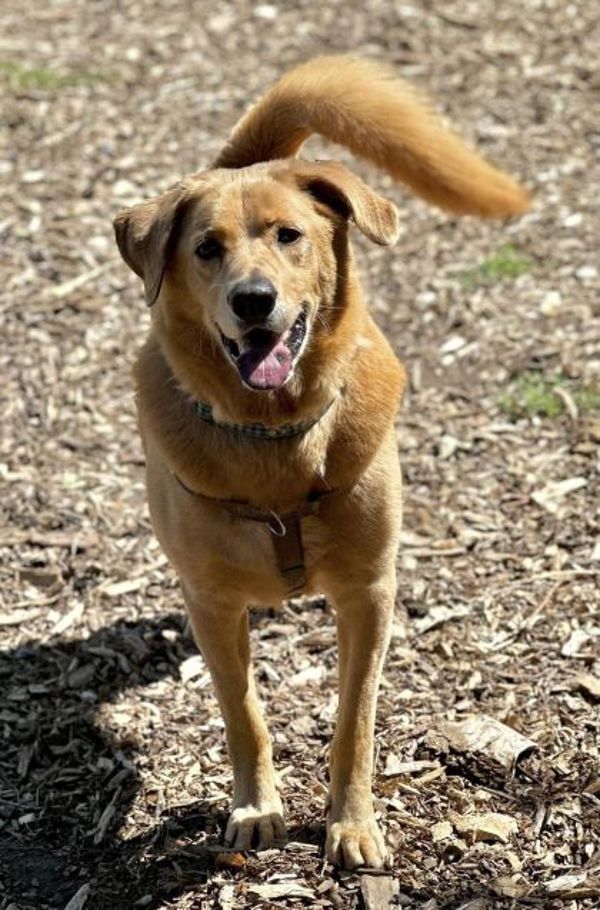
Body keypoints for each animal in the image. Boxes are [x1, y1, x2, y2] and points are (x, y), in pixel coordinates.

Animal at [113, 55, 528, 868]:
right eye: (206, 248)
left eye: (289, 235)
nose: (253, 300)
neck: (276, 437)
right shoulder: (212, 604)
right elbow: (243, 713)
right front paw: (256, 810)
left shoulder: (369, 594)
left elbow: (354, 723)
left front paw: (352, 824)